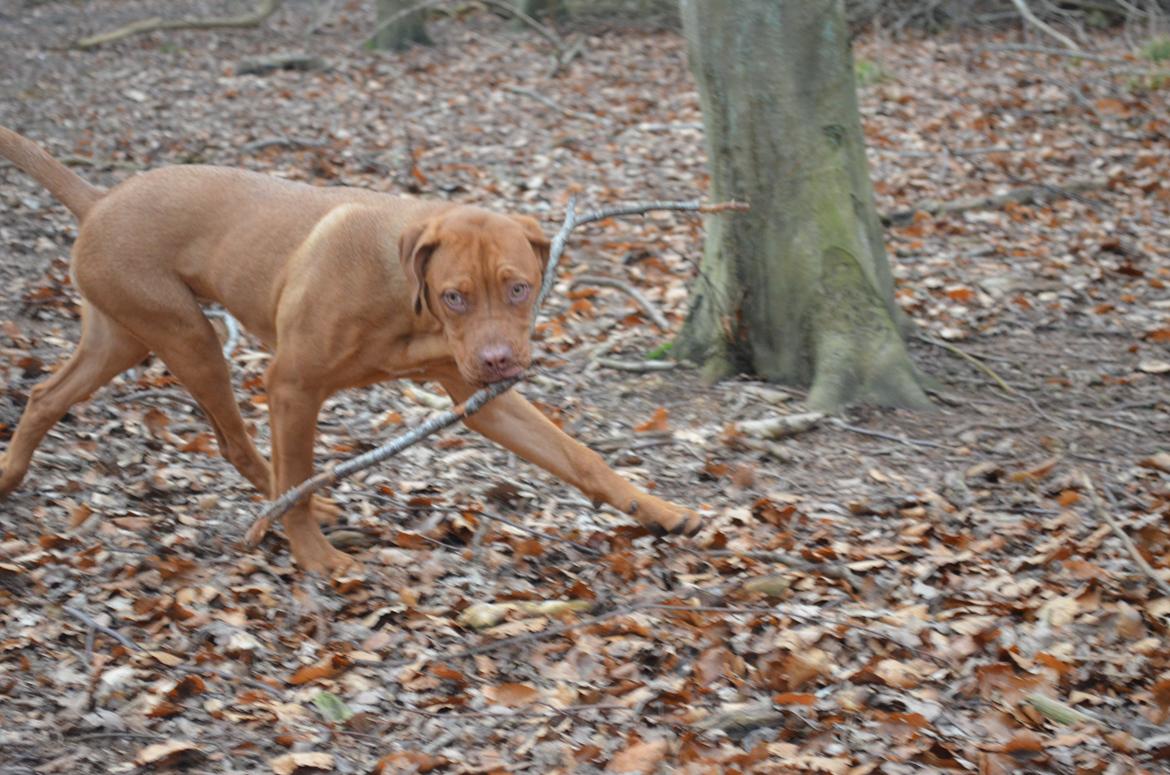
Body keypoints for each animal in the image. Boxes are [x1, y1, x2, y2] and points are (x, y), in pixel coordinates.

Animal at [0, 127, 697, 573]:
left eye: (519, 288)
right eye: (455, 296)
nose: (501, 361)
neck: (407, 305)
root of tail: (100, 199)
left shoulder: (481, 398)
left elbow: (581, 458)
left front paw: (659, 510)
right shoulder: (292, 385)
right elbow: (299, 482)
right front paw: (315, 559)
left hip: (118, 335)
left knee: (44, 395)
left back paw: (9, 474)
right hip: (186, 334)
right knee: (239, 444)